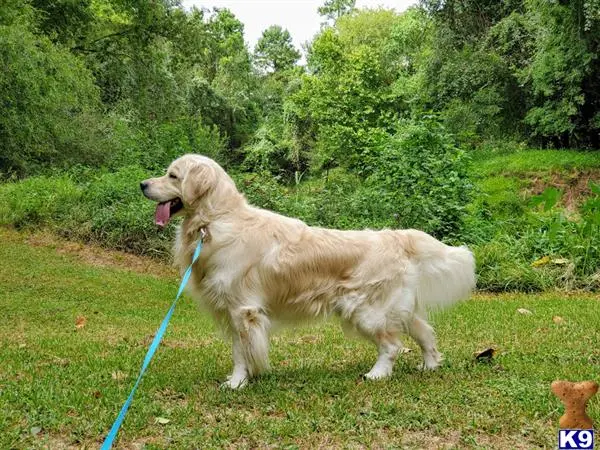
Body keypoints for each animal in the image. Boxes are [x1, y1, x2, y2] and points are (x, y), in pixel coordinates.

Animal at [141, 154, 474, 386]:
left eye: (172, 175)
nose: (142, 184)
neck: (216, 220)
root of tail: (396, 237)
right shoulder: (234, 311)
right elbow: (240, 350)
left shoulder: (242, 309)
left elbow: (241, 352)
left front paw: (237, 383)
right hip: (397, 309)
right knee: (425, 333)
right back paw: (429, 365)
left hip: (366, 311)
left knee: (392, 346)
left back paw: (377, 375)